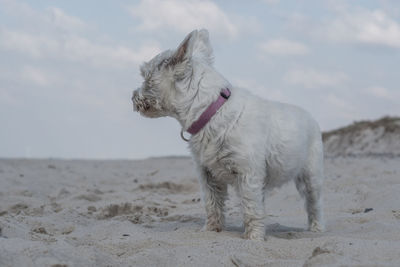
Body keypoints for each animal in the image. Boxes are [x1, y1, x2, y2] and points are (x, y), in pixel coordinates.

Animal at [133, 28, 324, 241]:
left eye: (146, 76)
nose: (133, 97)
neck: (211, 111)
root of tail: (311, 116)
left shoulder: (248, 174)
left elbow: (251, 208)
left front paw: (254, 238)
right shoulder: (208, 176)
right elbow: (213, 205)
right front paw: (211, 230)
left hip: (310, 176)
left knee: (313, 204)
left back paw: (316, 228)